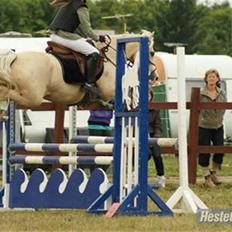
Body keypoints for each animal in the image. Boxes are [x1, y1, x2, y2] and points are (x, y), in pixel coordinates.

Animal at [0, 31, 158, 117]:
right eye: (152, 53)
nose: (155, 76)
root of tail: (15, 57)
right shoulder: (109, 91)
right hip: (33, 97)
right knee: (8, 93)